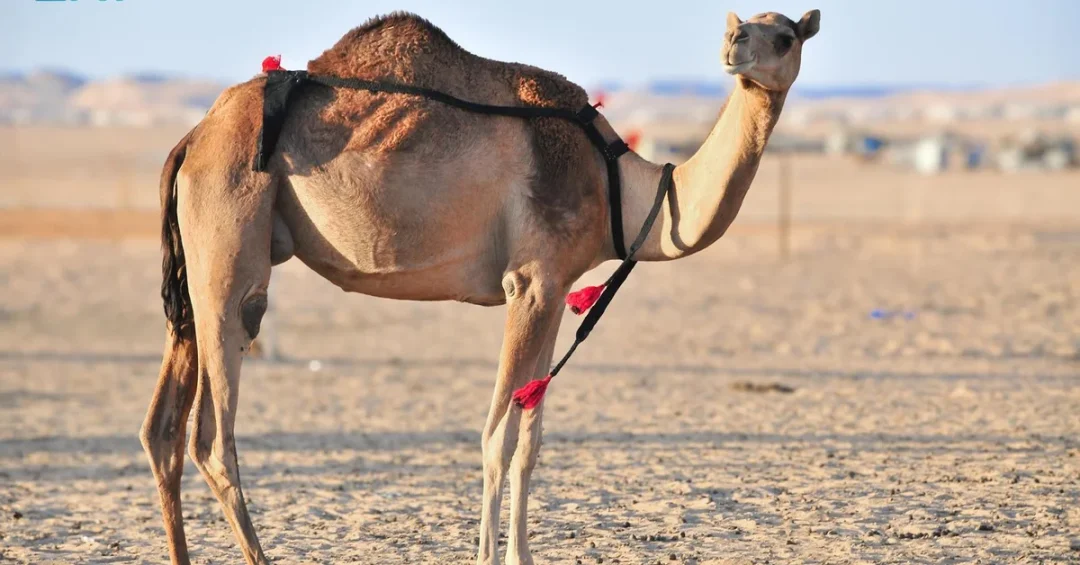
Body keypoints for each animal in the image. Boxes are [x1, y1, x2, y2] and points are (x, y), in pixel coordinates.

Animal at [139, 10, 820, 565]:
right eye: (745, 26)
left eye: (785, 34)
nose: (734, 45)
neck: (618, 188)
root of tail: (193, 138)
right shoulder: (532, 282)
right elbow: (498, 438)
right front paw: (491, 556)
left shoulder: (557, 288)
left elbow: (530, 442)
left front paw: (523, 554)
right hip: (231, 246)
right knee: (213, 433)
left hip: (198, 272)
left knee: (163, 428)